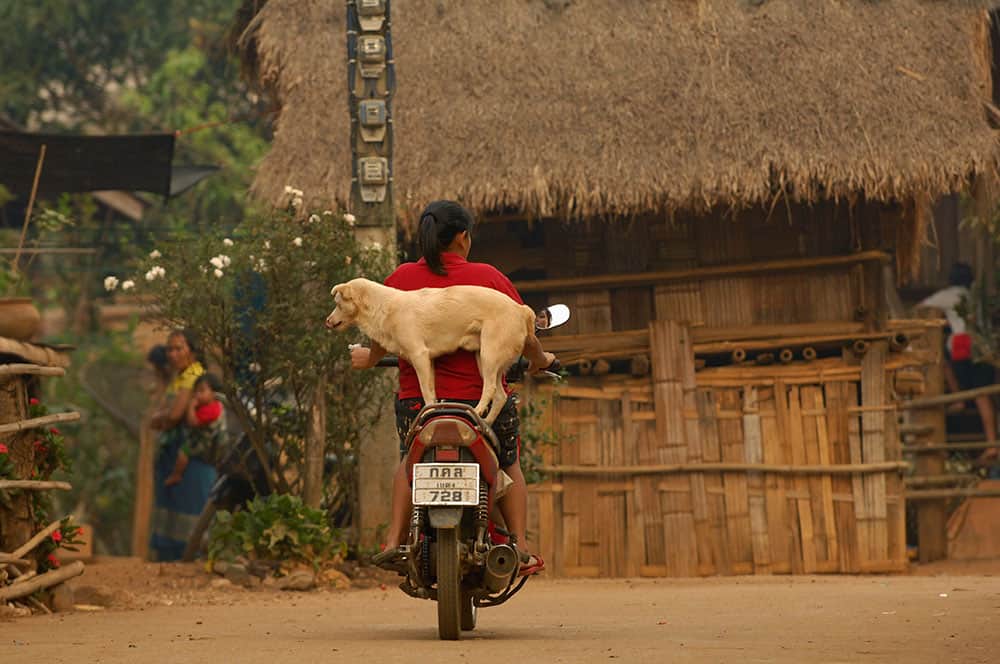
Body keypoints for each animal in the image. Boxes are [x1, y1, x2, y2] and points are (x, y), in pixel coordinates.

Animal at [324, 278, 536, 422]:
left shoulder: (419, 355)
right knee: (500, 396)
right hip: (483, 360)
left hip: (489, 356)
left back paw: (476, 411)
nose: (327, 321)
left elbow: (426, 393)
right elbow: (432, 392)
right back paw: (484, 423)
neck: (384, 307)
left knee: (490, 388)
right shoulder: (429, 361)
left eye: (337, 304)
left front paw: (428, 413)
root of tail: (521, 309)